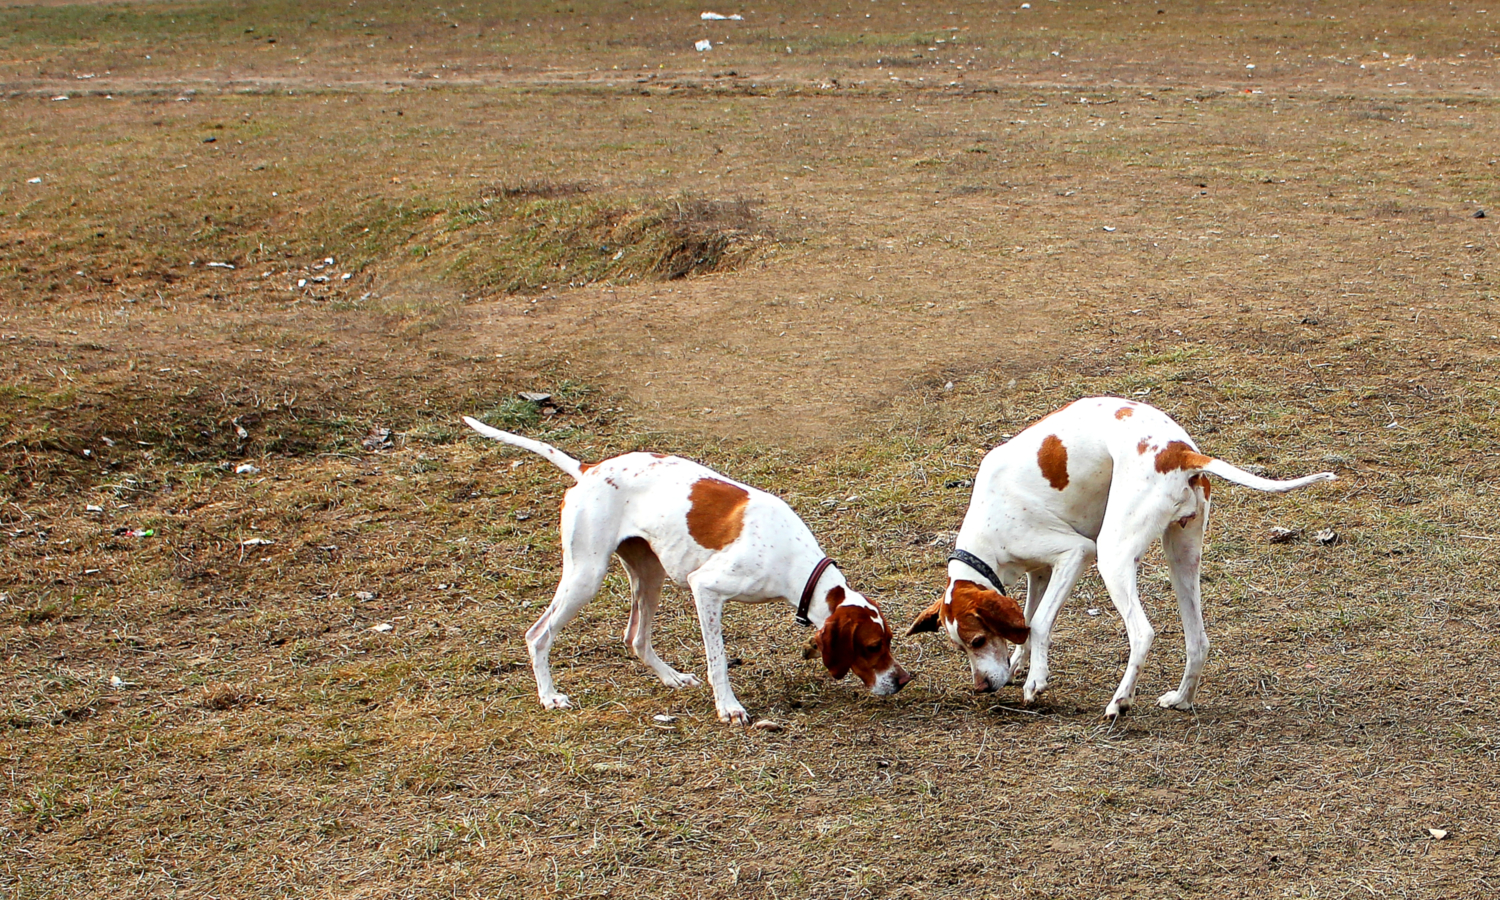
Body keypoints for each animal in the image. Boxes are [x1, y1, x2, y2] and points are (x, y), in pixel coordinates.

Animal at [465, 417, 912, 723]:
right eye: (872, 647)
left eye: (890, 641)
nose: (903, 680)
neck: (797, 565)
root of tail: (588, 469)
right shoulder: (706, 589)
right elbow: (718, 659)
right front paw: (728, 707)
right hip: (585, 576)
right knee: (538, 635)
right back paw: (549, 696)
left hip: (650, 576)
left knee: (635, 638)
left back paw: (672, 678)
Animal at [900, 396, 1338, 720]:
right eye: (960, 648)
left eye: (977, 640)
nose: (981, 688)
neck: (984, 538)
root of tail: (1180, 453)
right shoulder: (1039, 573)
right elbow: (1026, 619)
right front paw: (1021, 661)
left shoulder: (1074, 554)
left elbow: (1038, 624)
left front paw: (1035, 680)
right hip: (1181, 556)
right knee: (1198, 640)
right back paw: (1181, 699)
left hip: (1111, 556)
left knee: (1142, 633)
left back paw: (1119, 702)